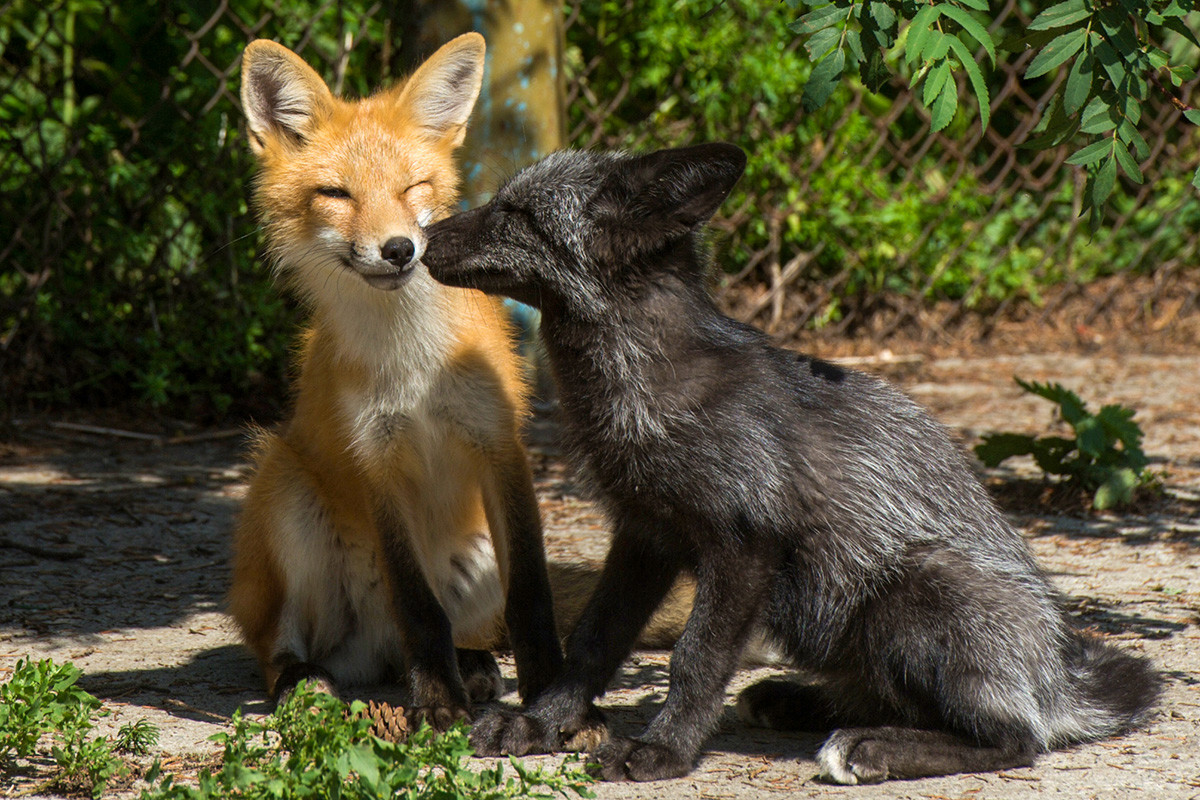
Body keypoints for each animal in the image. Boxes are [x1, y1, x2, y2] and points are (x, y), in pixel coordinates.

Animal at [231, 34, 564, 729]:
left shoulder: (500, 444)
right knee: (281, 647)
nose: (398, 249)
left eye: (414, 187)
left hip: (477, 553)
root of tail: (377, 651)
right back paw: (306, 683)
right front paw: (437, 703)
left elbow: (531, 594)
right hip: (283, 485)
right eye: (336, 194)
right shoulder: (376, 458)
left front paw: (552, 693)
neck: (413, 365)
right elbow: (420, 605)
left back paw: (471, 665)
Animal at [417, 142, 1156, 782]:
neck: (647, 387)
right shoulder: (646, 535)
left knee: (1014, 739)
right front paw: (541, 724)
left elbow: (695, 660)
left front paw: (662, 751)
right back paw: (799, 703)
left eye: (518, 215)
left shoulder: (745, 545)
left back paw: (874, 746)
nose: (417, 243)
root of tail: (1059, 679)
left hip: (912, 596)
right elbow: (593, 643)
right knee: (891, 699)